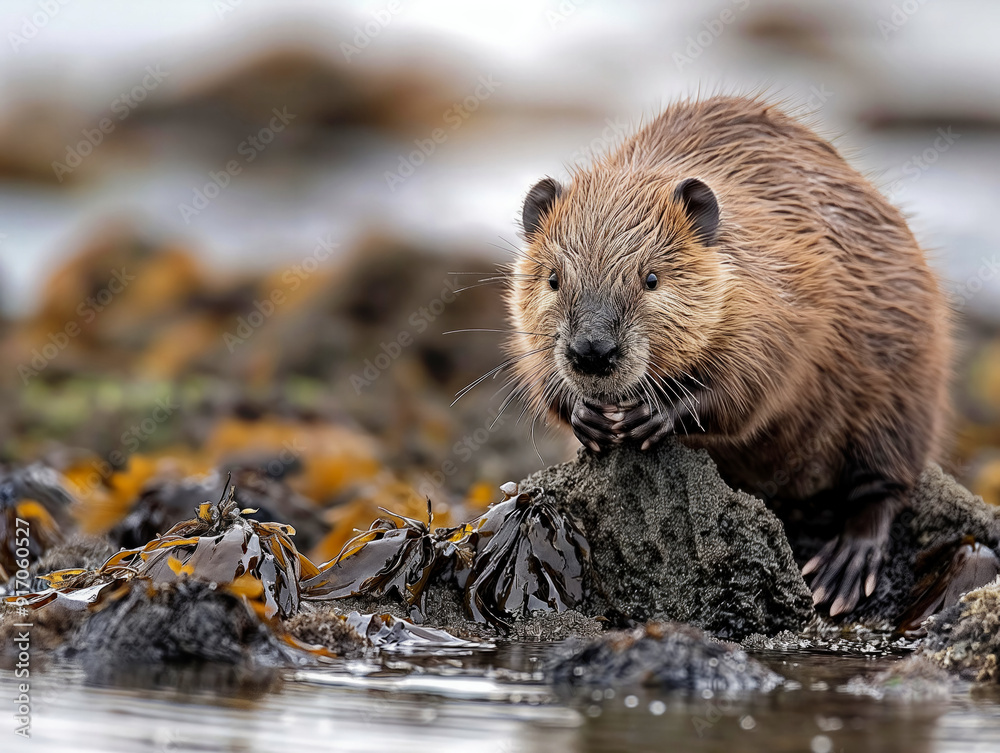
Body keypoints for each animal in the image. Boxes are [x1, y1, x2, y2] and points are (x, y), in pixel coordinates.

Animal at [508, 95, 952, 616]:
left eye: (651, 278)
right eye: (553, 278)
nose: (592, 352)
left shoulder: (786, 297)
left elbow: (750, 389)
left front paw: (650, 414)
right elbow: (543, 381)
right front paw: (589, 418)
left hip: (903, 395)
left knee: (884, 488)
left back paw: (840, 573)